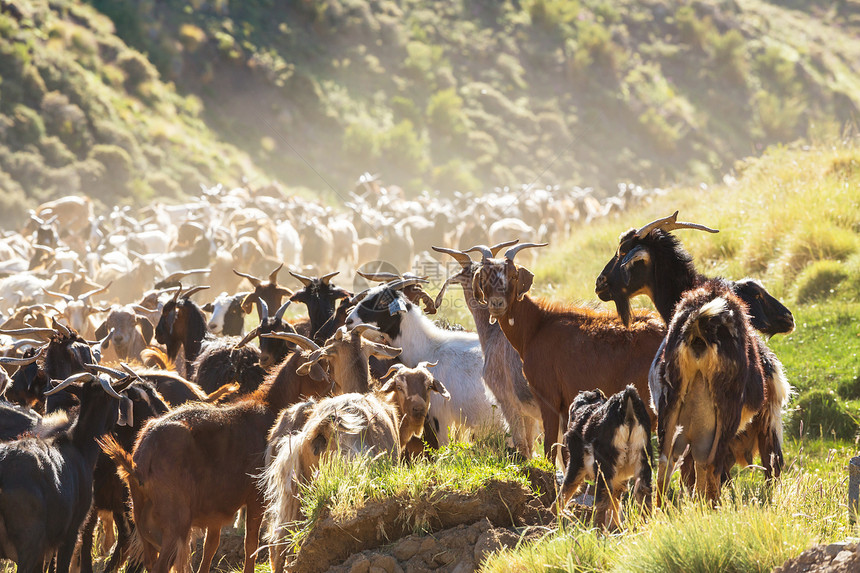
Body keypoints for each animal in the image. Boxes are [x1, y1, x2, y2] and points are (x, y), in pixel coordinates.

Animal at [470, 244, 664, 458]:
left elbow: (550, 448)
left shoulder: (549, 398)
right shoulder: (565, 405)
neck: (538, 324)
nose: (497, 304)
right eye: (484, 276)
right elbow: (564, 450)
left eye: (513, 275)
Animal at [556, 384, 652, 528]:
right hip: (643, 462)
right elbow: (615, 500)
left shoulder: (576, 462)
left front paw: (555, 514)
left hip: (603, 465)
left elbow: (567, 487)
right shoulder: (619, 478)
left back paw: (598, 529)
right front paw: (616, 527)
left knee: (602, 495)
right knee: (643, 492)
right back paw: (647, 524)